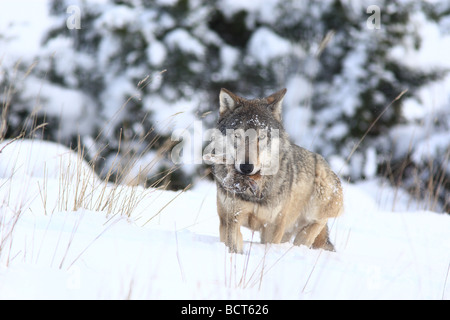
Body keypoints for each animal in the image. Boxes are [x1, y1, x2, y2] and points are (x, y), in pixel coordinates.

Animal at [206, 87, 342, 252]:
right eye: (237, 135)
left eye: (262, 137)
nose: (246, 167)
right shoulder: (230, 220)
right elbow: (233, 248)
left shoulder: (273, 227)